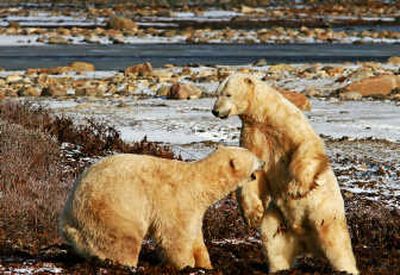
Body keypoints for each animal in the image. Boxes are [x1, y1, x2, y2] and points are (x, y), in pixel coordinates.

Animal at [60, 146, 266, 270]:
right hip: (112, 208)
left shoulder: (194, 208)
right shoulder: (176, 200)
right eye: (253, 156)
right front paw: (187, 265)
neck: (199, 183)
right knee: (123, 241)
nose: (264, 161)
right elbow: (175, 236)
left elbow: (195, 236)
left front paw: (206, 265)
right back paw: (125, 264)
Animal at [212, 74, 360, 275]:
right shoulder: (253, 135)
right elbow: (253, 171)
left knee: (337, 246)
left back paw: (346, 268)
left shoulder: (287, 124)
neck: (265, 117)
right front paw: (253, 215)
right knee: (273, 243)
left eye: (228, 94)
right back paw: (278, 268)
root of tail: (306, 243)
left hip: (324, 215)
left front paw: (296, 189)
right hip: (278, 219)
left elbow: (306, 147)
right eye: (216, 93)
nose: (215, 111)